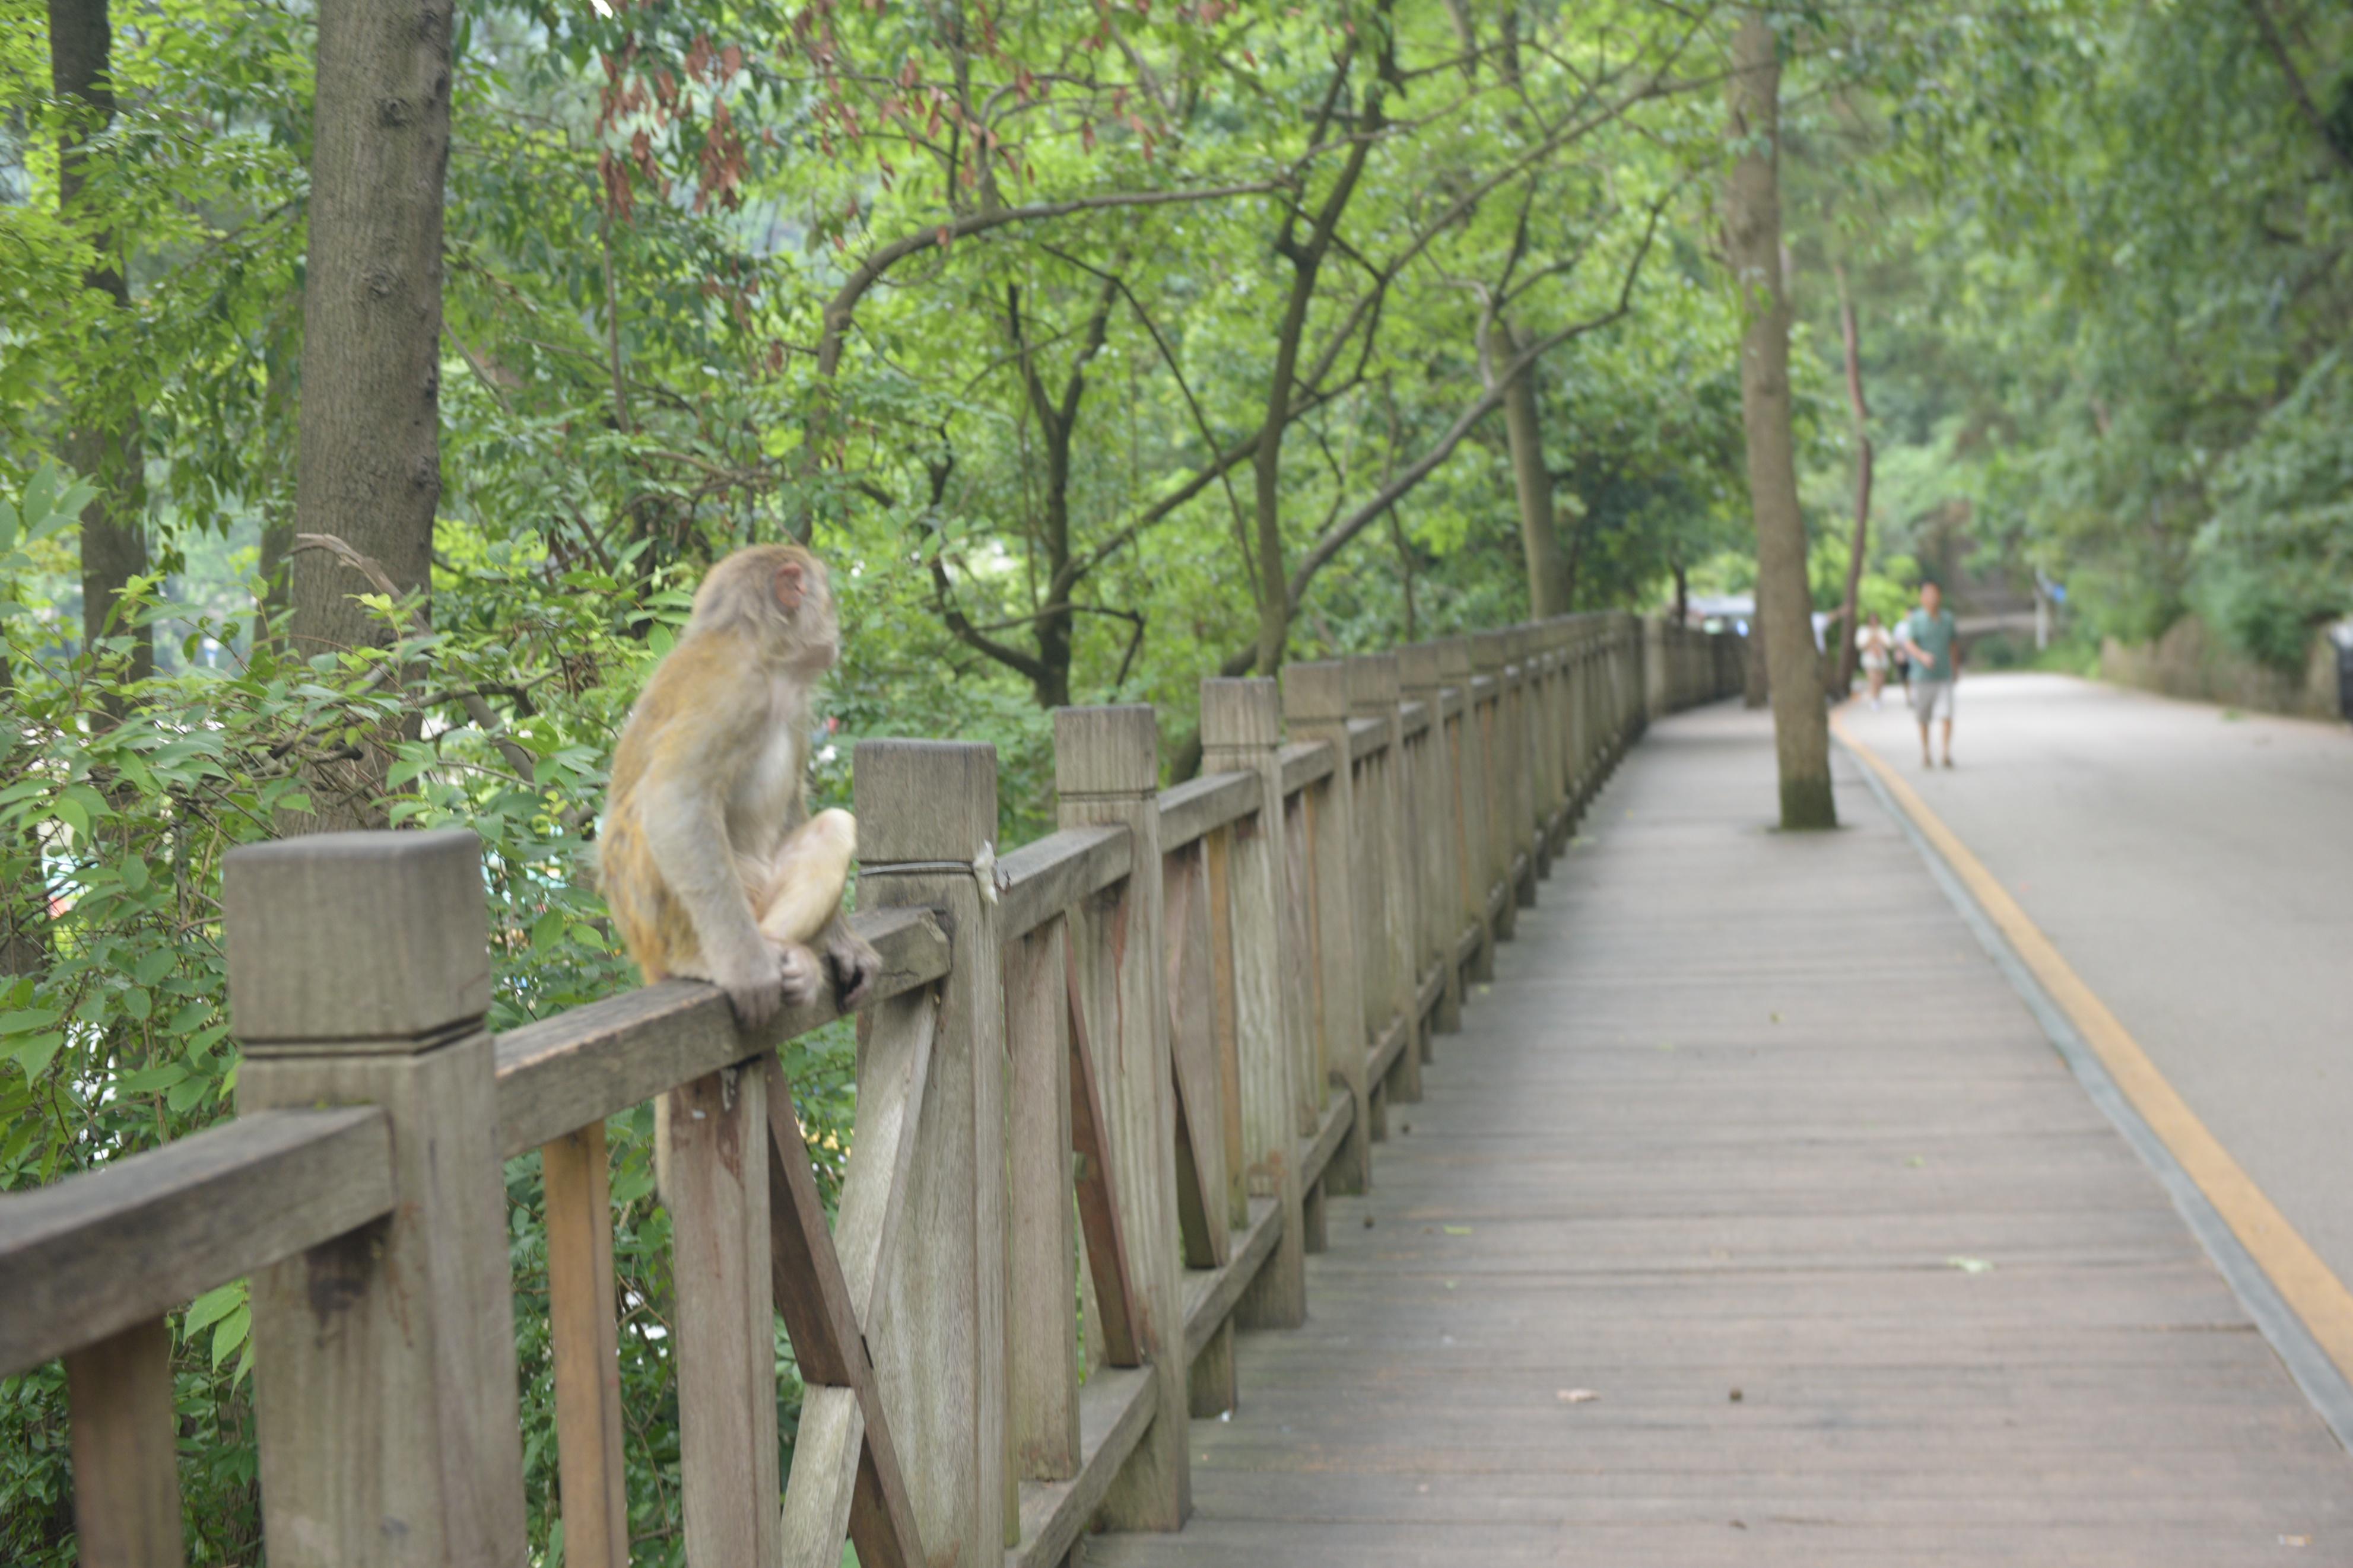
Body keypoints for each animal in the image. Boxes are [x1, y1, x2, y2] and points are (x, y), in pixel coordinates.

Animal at [598, 540, 884, 1029]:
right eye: (826, 594)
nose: (834, 636)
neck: (765, 654)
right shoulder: (734, 689)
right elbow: (676, 795)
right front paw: (746, 969)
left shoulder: (798, 703)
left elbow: (791, 807)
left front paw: (843, 943)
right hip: (668, 923)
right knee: (649, 819)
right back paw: (705, 958)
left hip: (757, 898)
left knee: (834, 826)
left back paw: (790, 952)